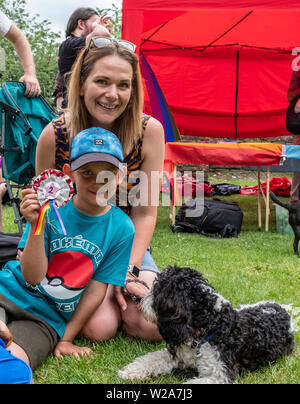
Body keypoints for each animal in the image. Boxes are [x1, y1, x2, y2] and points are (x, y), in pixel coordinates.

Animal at [118, 266, 296, 386]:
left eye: (158, 290)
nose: (140, 299)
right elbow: (153, 358)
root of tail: (284, 310)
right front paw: (130, 372)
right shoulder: (180, 355)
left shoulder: (221, 376)